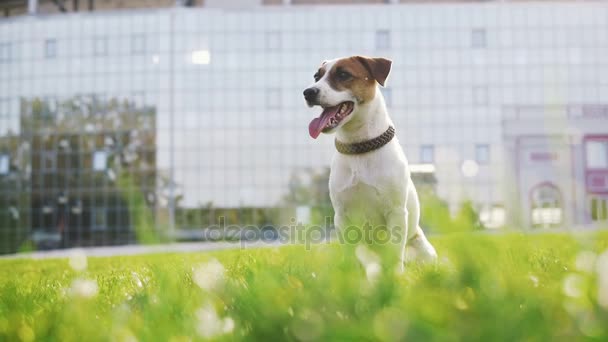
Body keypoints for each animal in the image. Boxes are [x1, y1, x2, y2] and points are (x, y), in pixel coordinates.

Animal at [304, 56, 436, 270]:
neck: (360, 146)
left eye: (343, 74)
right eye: (317, 76)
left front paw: (396, 274)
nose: (308, 92)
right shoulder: (341, 216)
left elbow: (395, 249)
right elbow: (349, 252)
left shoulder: (396, 212)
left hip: (424, 249)